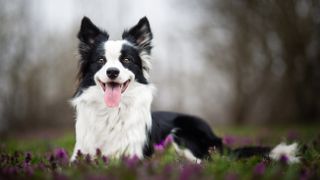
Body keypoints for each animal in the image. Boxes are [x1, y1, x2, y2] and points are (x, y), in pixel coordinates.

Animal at [70, 16, 300, 163]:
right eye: (101, 60)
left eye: (126, 60)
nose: (112, 72)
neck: (111, 113)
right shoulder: (79, 155)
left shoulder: (132, 155)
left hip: (181, 133)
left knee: (203, 162)